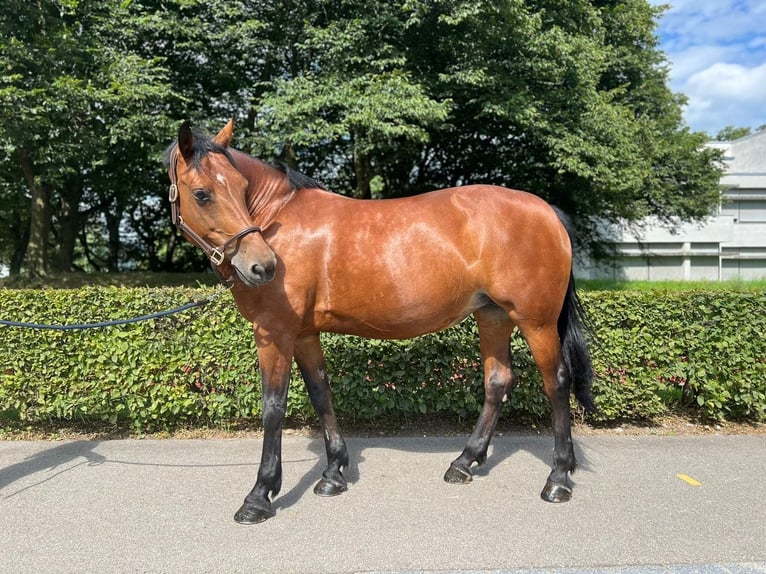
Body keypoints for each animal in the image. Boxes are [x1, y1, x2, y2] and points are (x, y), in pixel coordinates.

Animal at [165, 119, 596, 524]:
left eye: (240, 188)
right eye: (203, 193)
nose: (263, 266)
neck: (278, 222)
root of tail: (547, 212)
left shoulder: (274, 332)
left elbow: (273, 407)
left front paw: (259, 496)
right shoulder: (303, 333)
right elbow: (321, 393)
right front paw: (333, 474)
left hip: (536, 322)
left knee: (557, 383)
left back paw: (558, 479)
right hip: (493, 315)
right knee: (497, 381)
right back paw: (464, 462)